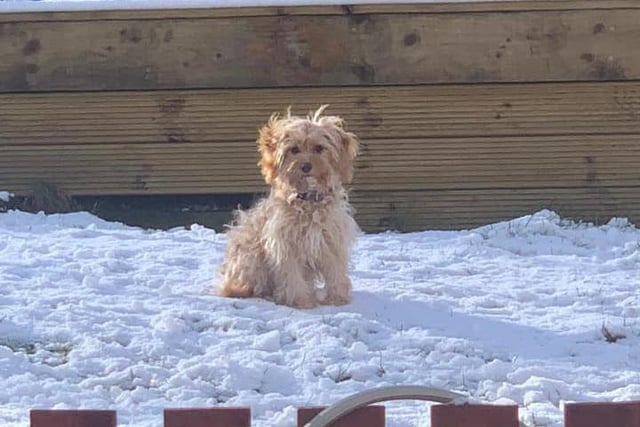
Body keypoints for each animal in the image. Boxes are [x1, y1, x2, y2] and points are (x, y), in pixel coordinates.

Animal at [219, 105, 360, 310]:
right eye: (294, 149)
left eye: (319, 148)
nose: (306, 166)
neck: (309, 201)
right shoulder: (285, 245)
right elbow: (292, 276)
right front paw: (302, 301)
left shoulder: (331, 241)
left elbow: (336, 272)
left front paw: (337, 299)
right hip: (249, 254)